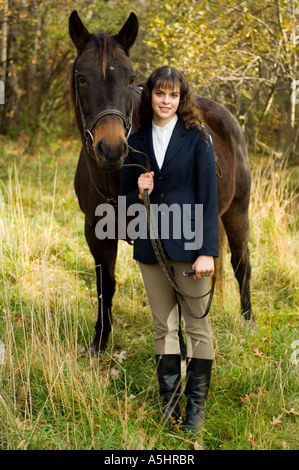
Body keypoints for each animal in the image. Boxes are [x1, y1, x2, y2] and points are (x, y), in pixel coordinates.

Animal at [68, 11, 253, 354]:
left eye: (130, 79)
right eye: (82, 78)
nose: (111, 149)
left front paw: (178, 348)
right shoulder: (96, 233)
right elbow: (105, 284)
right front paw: (100, 341)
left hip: (238, 211)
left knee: (241, 263)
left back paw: (248, 320)